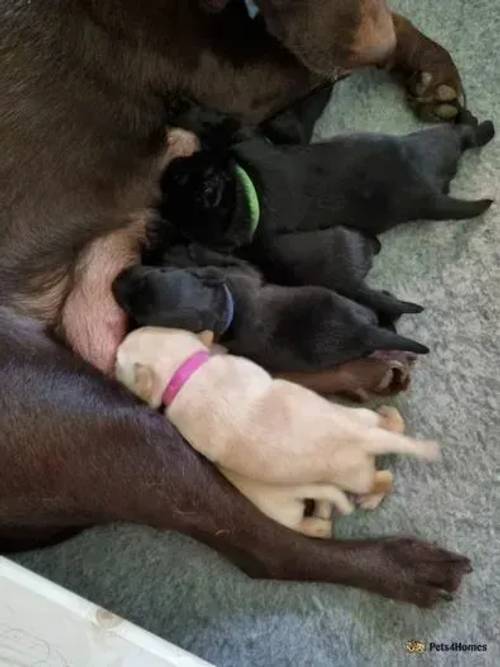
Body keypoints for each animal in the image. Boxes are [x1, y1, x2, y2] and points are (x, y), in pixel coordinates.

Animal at [112, 245, 426, 374]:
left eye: (153, 274)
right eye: (133, 311)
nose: (115, 281)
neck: (224, 308)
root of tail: (362, 332)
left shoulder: (243, 271)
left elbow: (216, 259)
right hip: (350, 311)